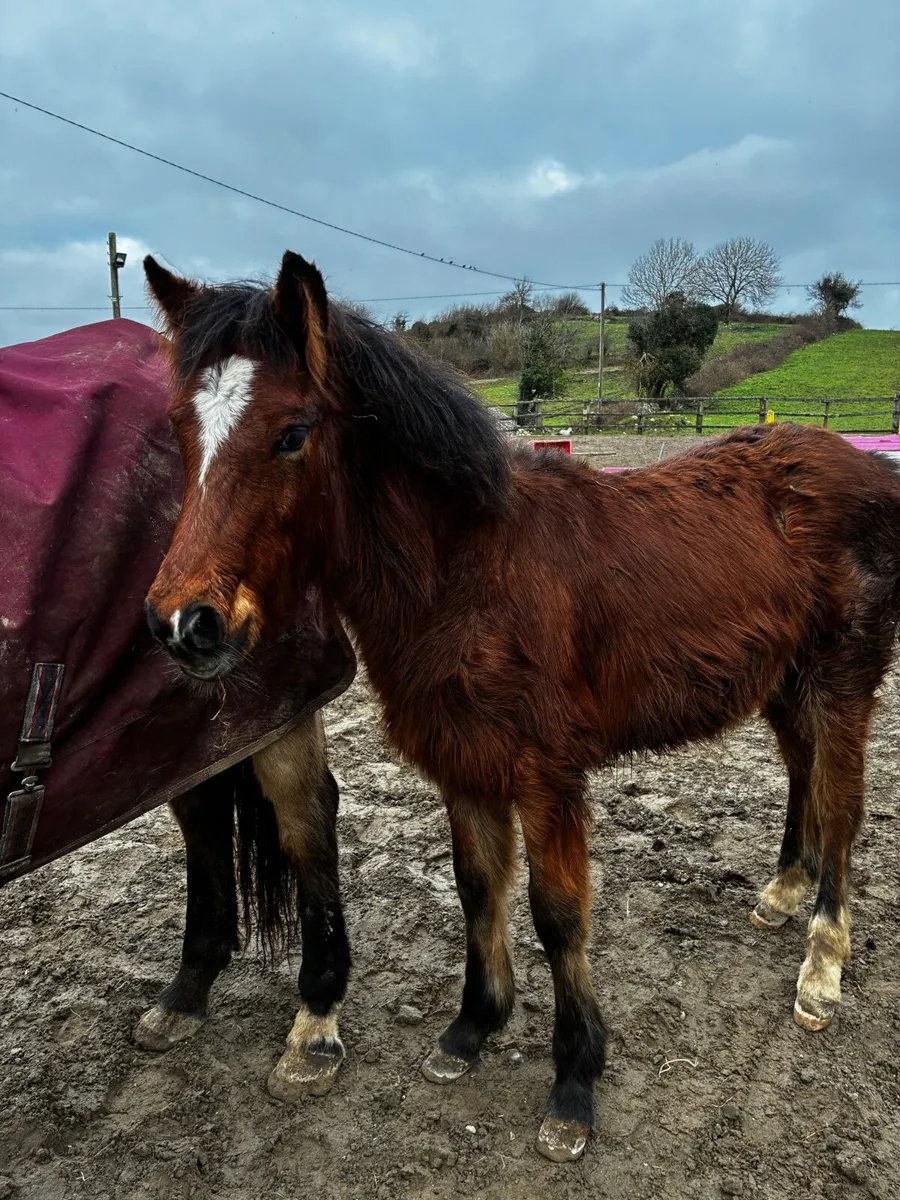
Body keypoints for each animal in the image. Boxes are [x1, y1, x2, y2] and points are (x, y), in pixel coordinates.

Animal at [0, 318, 356, 1102]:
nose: (184, 624)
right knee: (204, 814)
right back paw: (189, 990)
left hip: (273, 701)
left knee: (306, 819)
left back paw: (315, 1022)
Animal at [140, 249, 900, 1164]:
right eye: (181, 428)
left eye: (292, 433)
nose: (186, 625)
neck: (470, 575)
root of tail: (868, 465)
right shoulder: (464, 763)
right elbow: (478, 890)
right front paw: (472, 1028)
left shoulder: (547, 777)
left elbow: (558, 915)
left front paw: (574, 1081)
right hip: (785, 683)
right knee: (801, 777)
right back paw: (784, 891)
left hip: (843, 682)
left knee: (842, 804)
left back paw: (822, 966)